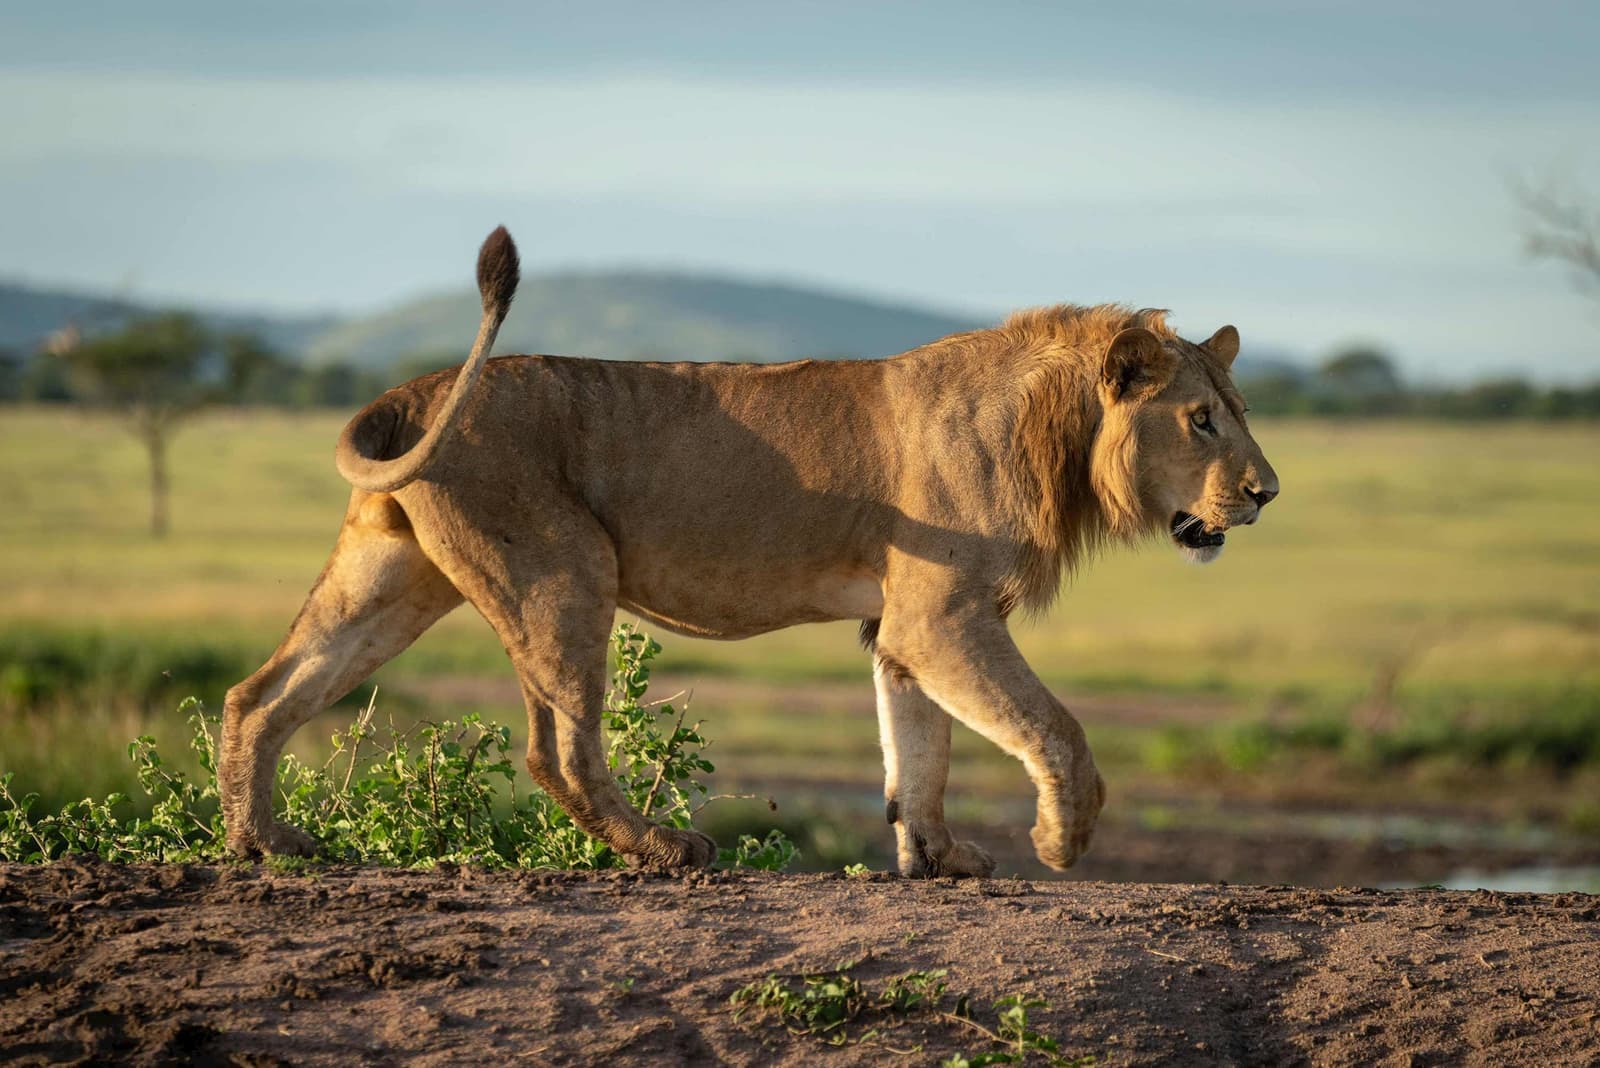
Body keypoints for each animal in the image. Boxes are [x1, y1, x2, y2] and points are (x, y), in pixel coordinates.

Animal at [219, 227, 1279, 876]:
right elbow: (1052, 727)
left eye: (1238, 413)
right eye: (1201, 420)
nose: (1267, 493)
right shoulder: (944, 616)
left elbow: (919, 755)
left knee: (261, 693)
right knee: (557, 748)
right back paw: (663, 849)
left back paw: (264, 842)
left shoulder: (904, 628)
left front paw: (937, 859)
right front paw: (1063, 840)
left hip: (391, 577)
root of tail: (420, 389)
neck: (1054, 434)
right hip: (565, 571)